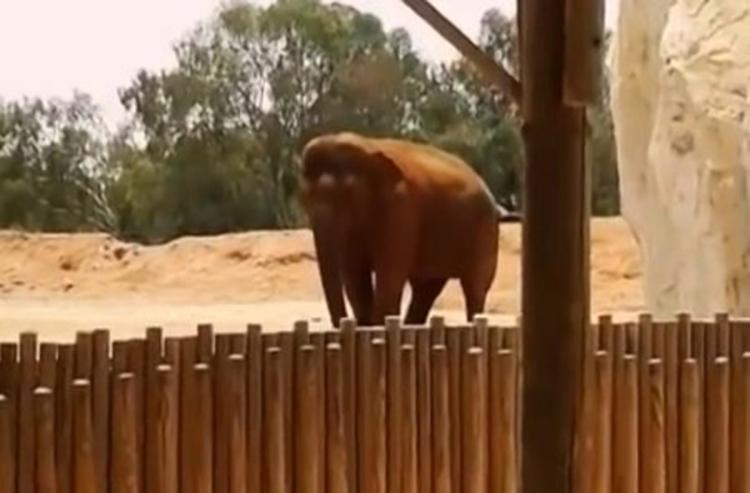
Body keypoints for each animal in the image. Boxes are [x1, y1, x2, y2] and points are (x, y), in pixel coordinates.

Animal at [298, 131, 506, 328]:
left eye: (349, 195)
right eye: (306, 197)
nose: (346, 322)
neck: (368, 147)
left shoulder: (402, 209)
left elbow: (389, 274)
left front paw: (377, 324)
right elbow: (354, 272)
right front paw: (367, 324)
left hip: (485, 231)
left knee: (475, 287)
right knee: (425, 288)